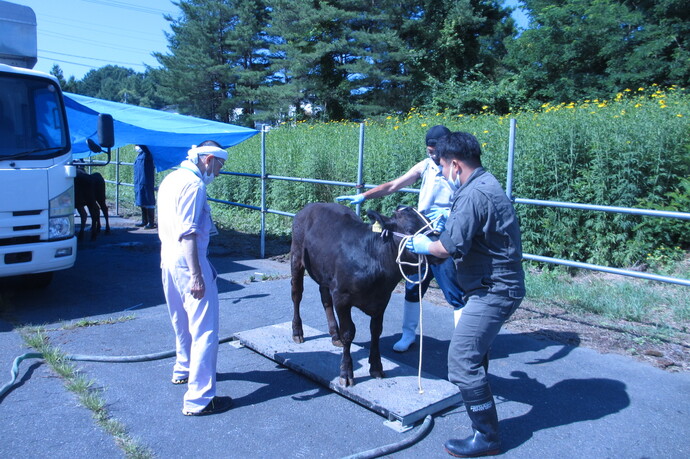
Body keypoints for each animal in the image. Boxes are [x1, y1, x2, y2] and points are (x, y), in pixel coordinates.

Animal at [290, 203, 436, 386]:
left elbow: (376, 330)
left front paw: (376, 367)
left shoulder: (382, 298)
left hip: (325, 273)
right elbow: (348, 332)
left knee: (325, 298)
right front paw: (346, 373)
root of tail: (311, 206)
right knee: (297, 295)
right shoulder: (342, 297)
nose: (436, 245)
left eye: (430, 224)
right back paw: (297, 332)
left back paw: (334, 335)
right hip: (296, 258)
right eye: (410, 230)